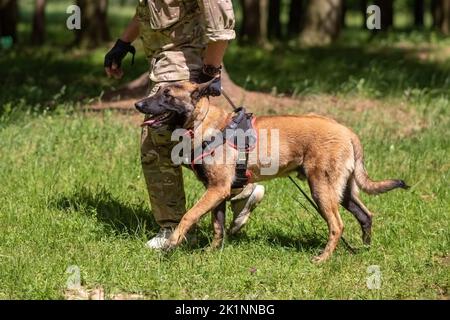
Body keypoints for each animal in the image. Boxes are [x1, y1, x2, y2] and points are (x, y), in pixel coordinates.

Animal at [134, 79, 408, 262]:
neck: (203, 124)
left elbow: (188, 216)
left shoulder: (216, 190)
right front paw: (211, 252)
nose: (138, 104)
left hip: (321, 189)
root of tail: (348, 132)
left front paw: (171, 244)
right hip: (342, 191)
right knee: (365, 215)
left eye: (167, 94)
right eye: (158, 91)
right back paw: (365, 250)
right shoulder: (218, 192)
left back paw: (322, 259)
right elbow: (218, 226)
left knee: (337, 225)